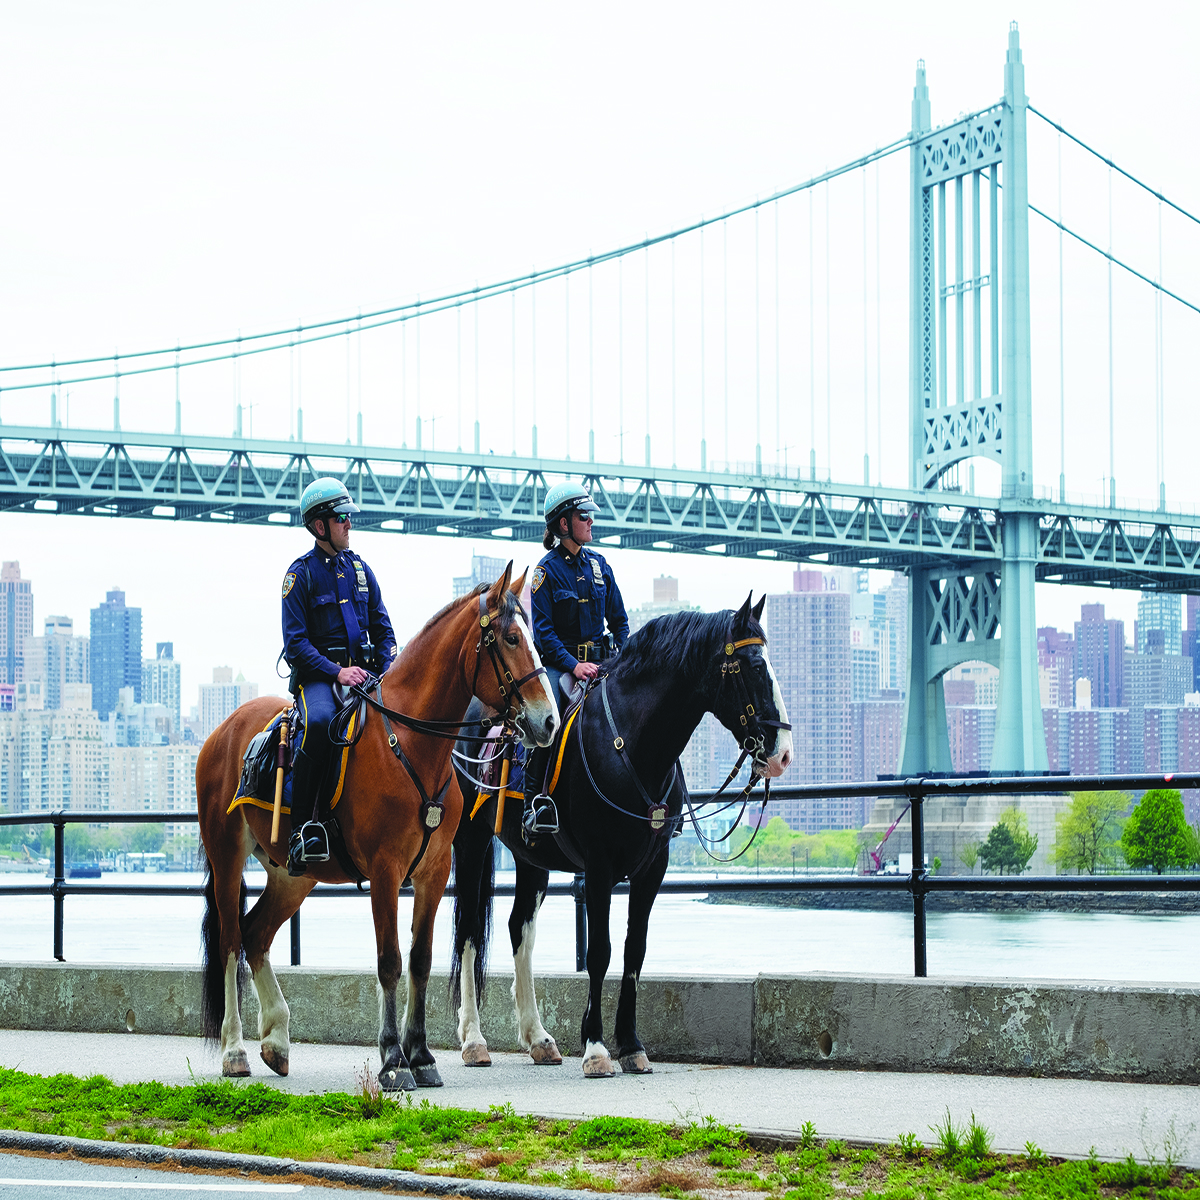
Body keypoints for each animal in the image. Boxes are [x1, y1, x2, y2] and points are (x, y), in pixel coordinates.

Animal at [194, 561, 554, 1089]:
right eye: (510, 638)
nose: (548, 721)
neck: (411, 744)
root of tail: (224, 728)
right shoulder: (385, 872)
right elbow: (389, 962)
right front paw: (392, 1058)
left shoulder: (433, 872)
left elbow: (420, 961)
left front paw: (420, 1054)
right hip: (226, 859)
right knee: (230, 940)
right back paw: (235, 1049)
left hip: (292, 874)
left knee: (256, 934)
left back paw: (277, 1039)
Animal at [446, 595, 792, 1075]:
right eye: (754, 667)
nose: (782, 754)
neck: (633, 741)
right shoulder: (599, 866)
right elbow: (600, 951)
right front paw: (595, 1048)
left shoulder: (652, 868)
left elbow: (634, 950)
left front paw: (630, 1044)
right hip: (473, 840)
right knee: (468, 931)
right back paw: (474, 1040)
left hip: (531, 858)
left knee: (520, 930)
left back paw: (537, 1037)